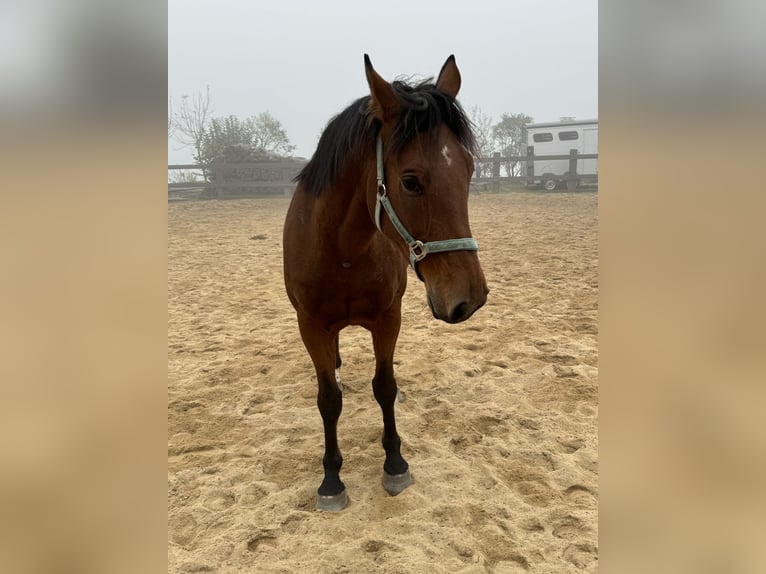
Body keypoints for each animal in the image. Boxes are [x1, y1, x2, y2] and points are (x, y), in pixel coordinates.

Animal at [284, 55, 488, 512]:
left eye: (468, 171)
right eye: (411, 181)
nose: (471, 299)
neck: (343, 251)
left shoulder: (388, 319)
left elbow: (385, 387)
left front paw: (395, 463)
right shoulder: (311, 326)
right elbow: (328, 400)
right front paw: (331, 481)